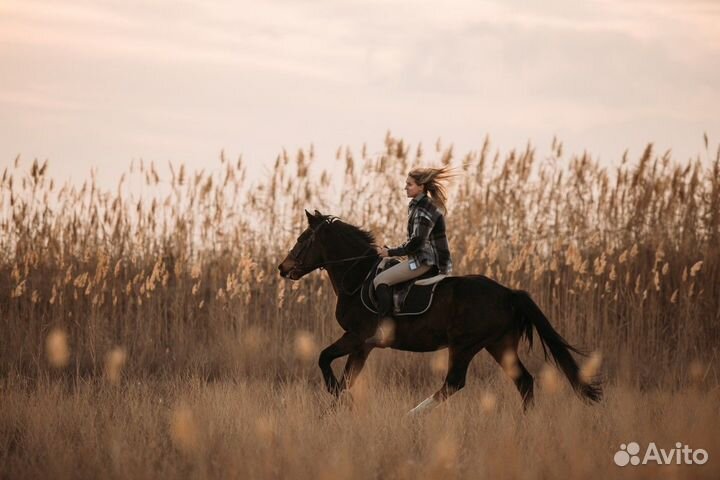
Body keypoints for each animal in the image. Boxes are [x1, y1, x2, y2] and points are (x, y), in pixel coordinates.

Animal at [278, 212, 600, 414]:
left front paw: (335, 403)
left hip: (464, 345)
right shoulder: (362, 345)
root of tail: (508, 293)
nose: (283, 268)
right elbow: (343, 375)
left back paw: (411, 416)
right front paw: (336, 408)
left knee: (454, 383)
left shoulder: (358, 337)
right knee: (524, 381)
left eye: (303, 238)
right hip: (499, 344)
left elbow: (327, 362)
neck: (357, 278)